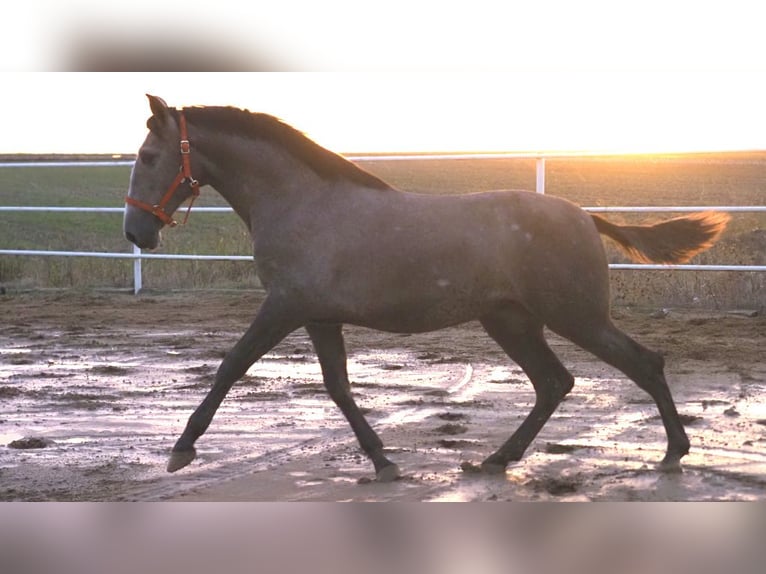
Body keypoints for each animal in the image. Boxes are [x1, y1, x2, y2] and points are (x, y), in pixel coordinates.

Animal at [124, 97, 732, 484]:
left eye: (149, 157)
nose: (136, 233)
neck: (302, 202)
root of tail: (585, 215)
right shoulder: (319, 317)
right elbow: (339, 388)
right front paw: (382, 463)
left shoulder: (285, 307)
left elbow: (231, 365)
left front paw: (181, 451)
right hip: (511, 320)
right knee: (554, 383)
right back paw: (494, 460)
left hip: (575, 317)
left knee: (642, 363)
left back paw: (673, 454)